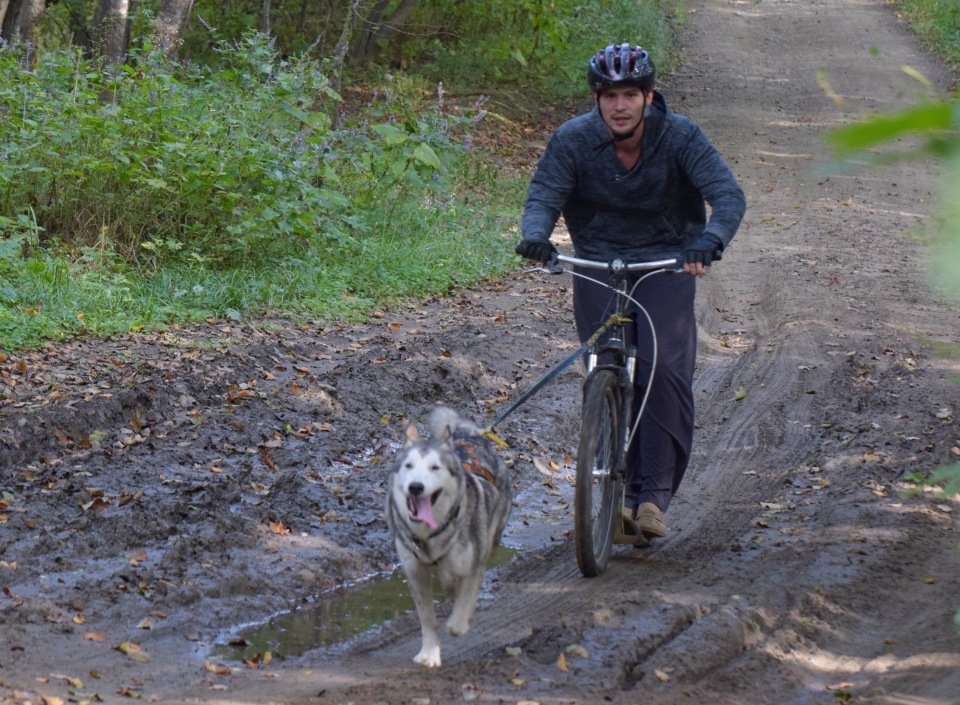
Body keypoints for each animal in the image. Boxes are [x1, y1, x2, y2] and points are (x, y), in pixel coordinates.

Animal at [386, 408, 512, 664]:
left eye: (435, 468)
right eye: (408, 466)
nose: (415, 487)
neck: (430, 535)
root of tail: (471, 437)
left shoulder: (471, 566)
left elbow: (461, 608)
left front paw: (457, 623)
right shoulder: (415, 572)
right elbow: (427, 619)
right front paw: (429, 652)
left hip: (489, 540)